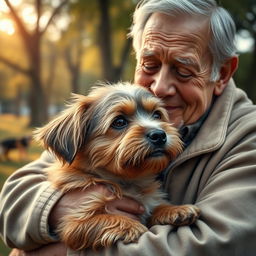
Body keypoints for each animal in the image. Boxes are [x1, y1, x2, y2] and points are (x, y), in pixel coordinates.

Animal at [34, 82, 200, 250]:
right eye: (119, 122)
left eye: (157, 115)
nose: (159, 135)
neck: (125, 180)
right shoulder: (73, 223)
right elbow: (105, 218)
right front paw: (130, 225)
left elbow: (153, 207)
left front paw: (174, 209)